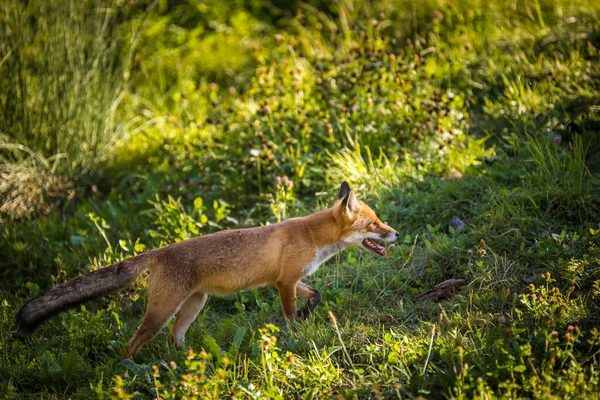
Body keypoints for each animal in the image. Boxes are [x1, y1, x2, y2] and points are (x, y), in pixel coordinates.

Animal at [15, 183, 398, 358]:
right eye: (374, 224)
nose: (395, 233)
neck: (313, 237)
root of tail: (160, 250)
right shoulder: (284, 281)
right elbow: (289, 316)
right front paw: (297, 333)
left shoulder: (289, 279)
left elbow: (316, 293)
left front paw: (308, 311)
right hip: (162, 311)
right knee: (131, 343)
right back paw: (128, 372)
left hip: (194, 305)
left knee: (174, 339)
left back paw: (188, 361)